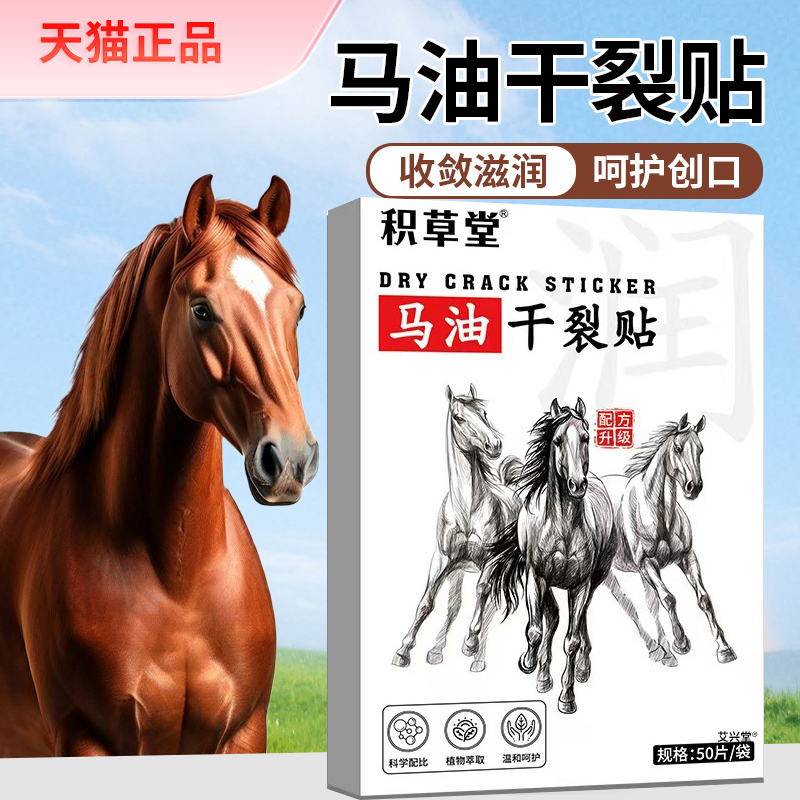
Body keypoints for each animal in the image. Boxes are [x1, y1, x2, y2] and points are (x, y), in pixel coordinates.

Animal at [0, 175, 318, 756]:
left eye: (298, 308)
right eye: (202, 309)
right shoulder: (85, 738)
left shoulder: (244, 733)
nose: (290, 459)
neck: (179, 581)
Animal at [392, 385, 519, 673]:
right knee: (455, 605)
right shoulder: (443, 559)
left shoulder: (491, 560)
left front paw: (469, 643)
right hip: (459, 570)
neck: (467, 510)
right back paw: (436, 651)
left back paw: (478, 657)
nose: (494, 445)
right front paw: (403, 651)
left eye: (484, 413)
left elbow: (481, 592)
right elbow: (428, 603)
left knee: (493, 604)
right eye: (459, 418)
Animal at [486, 398, 616, 714]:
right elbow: (535, 629)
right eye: (557, 441)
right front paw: (528, 663)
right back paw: (542, 675)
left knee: (576, 620)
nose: (577, 485)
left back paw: (581, 668)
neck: (563, 528)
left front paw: (567, 698)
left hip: (595, 580)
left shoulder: (580, 585)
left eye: (586, 437)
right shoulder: (537, 578)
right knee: (552, 618)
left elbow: (571, 641)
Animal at [603, 414, 736, 667]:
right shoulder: (648, 563)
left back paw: (664, 652)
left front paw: (724, 649)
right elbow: (668, 598)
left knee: (648, 604)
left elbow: (704, 598)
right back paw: (659, 650)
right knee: (628, 604)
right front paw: (681, 642)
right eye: (678, 448)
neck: (657, 515)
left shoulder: (687, 557)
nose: (694, 487)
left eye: (700, 449)